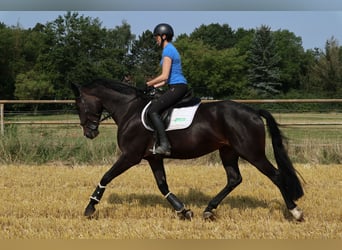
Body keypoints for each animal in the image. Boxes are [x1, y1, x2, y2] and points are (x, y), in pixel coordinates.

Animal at [71, 77, 304, 221]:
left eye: (79, 104)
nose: (89, 133)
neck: (130, 110)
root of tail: (254, 111)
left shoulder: (130, 156)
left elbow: (106, 176)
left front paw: (90, 207)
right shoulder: (153, 158)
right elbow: (162, 185)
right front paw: (183, 211)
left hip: (252, 153)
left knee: (276, 175)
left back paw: (295, 212)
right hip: (228, 151)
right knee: (234, 179)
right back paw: (209, 210)